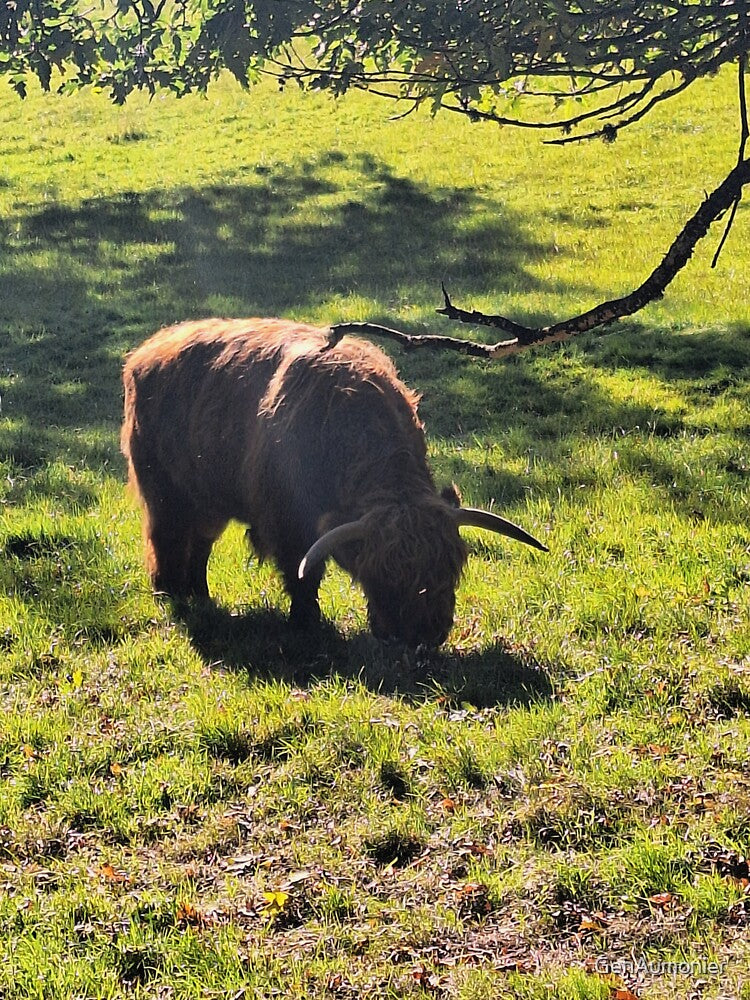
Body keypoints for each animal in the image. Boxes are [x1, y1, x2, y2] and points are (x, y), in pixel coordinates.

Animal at [121, 318, 547, 646]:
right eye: (384, 575)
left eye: (450, 567)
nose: (423, 635)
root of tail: (146, 352)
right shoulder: (287, 522)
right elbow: (302, 572)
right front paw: (306, 622)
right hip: (164, 491)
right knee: (166, 539)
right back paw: (170, 593)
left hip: (208, 499)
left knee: (200, 543)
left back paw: (200, 594)